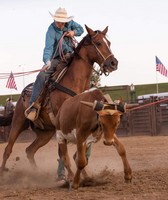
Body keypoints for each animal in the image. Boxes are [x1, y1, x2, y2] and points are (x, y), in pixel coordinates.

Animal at [0, 24, 118, 172]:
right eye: (98, 43)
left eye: (109, 43)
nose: (113, 63)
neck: (74, 81)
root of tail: (22, 96)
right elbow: (63, 154)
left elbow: (80, 151)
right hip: (18, 122)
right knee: (8, 150)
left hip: (45, 132)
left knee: (29, 150)